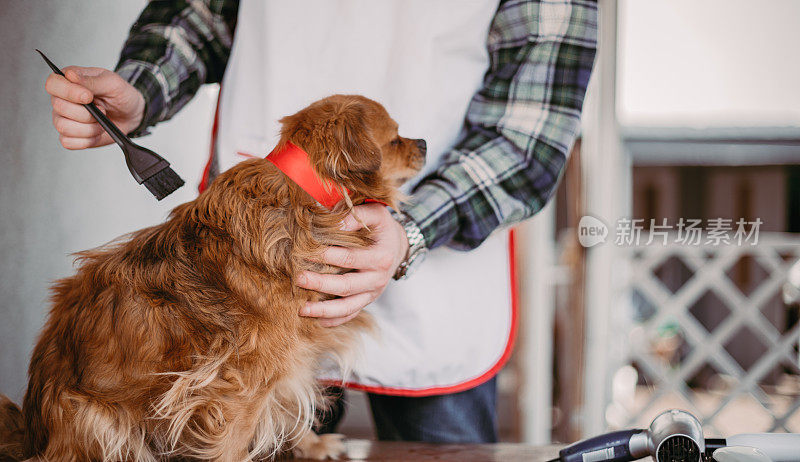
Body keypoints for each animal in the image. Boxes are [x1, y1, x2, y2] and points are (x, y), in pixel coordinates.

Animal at [0, 94, 424, 462]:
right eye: (395, 138)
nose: (422, 142)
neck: (311, 199)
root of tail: (35, 437)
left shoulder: (291, 356)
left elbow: (289, 402)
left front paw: (313, 445)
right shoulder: (240, 380)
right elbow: (237, 436)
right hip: (99, 422)